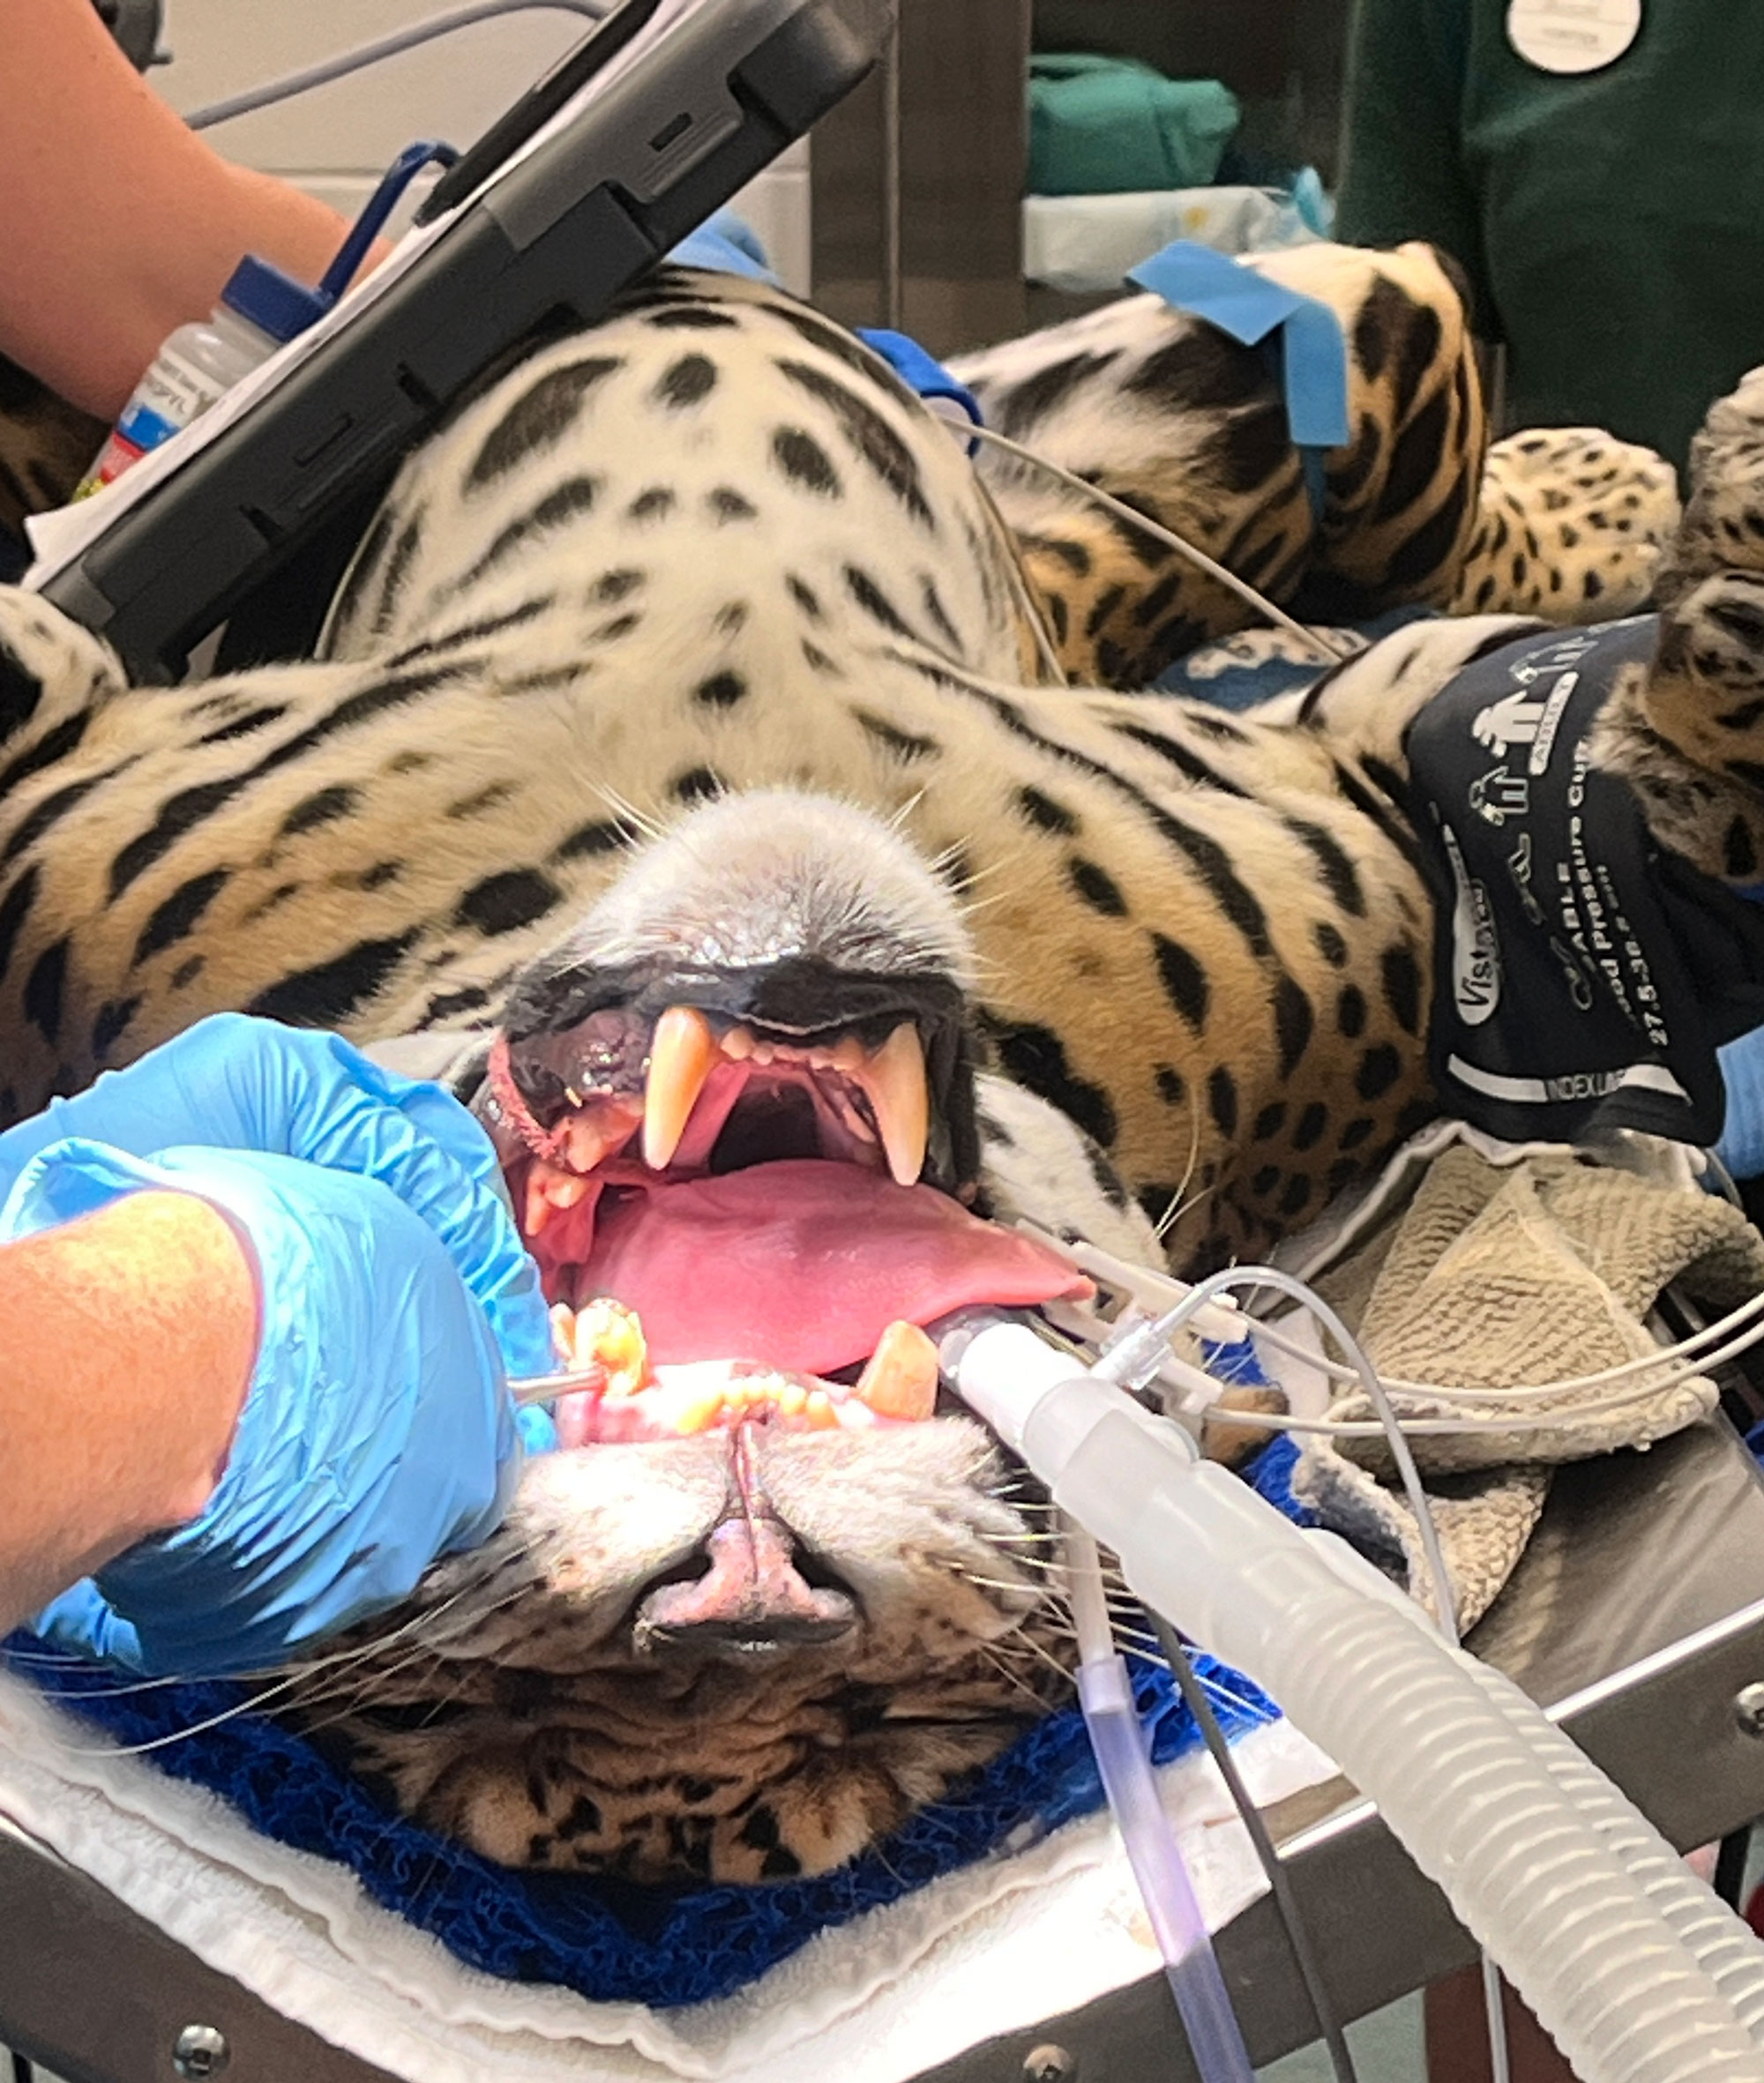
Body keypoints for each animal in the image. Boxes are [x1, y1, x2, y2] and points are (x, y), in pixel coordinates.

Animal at [3, 237, 1755, 1891]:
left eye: (898, 1713)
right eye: (451, 1706)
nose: (740, 1609)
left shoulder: (1412, 872)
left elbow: (1670, 836)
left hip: (1349, 396)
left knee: (1389, 434)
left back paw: (1620, 480)